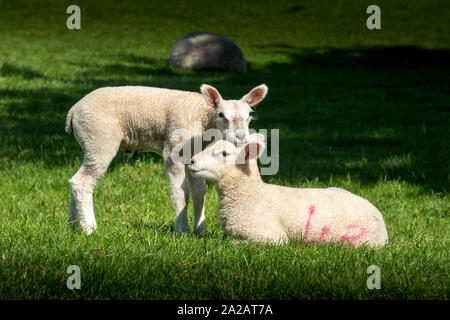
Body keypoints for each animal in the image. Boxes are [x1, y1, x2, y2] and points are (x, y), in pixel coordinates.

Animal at [65, 84, 268, 235]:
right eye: (221, 114)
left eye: (250, 115)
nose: (241, 137)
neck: (203, 118)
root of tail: (73, 111)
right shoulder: (173, 151)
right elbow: (182, 194)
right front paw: (182, 230)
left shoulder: (195, 156)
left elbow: (199, 193)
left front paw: (201, 230)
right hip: (99, 139)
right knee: (83, 182)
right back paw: (89, 228)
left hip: (91, 142)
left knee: (74, 181)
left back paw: (74, 225)